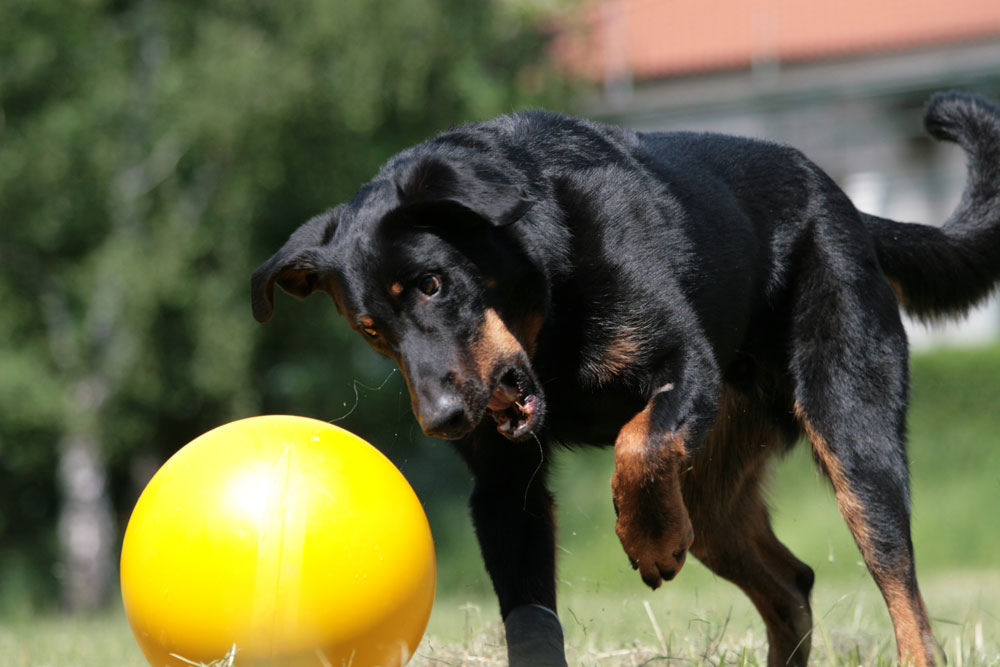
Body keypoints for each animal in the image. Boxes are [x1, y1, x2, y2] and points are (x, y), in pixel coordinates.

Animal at [252, 94, 1000, 667]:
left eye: (433, 283)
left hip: (852, 434)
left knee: (903, 593)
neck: (549, 313)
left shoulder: (683, 364)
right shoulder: (502, 488)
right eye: (371, 330)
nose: (441, 420)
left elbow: (638, 443)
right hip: (715, 498)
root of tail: (849, 206)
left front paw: (648, 539)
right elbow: (529, 617)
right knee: (791, 583)